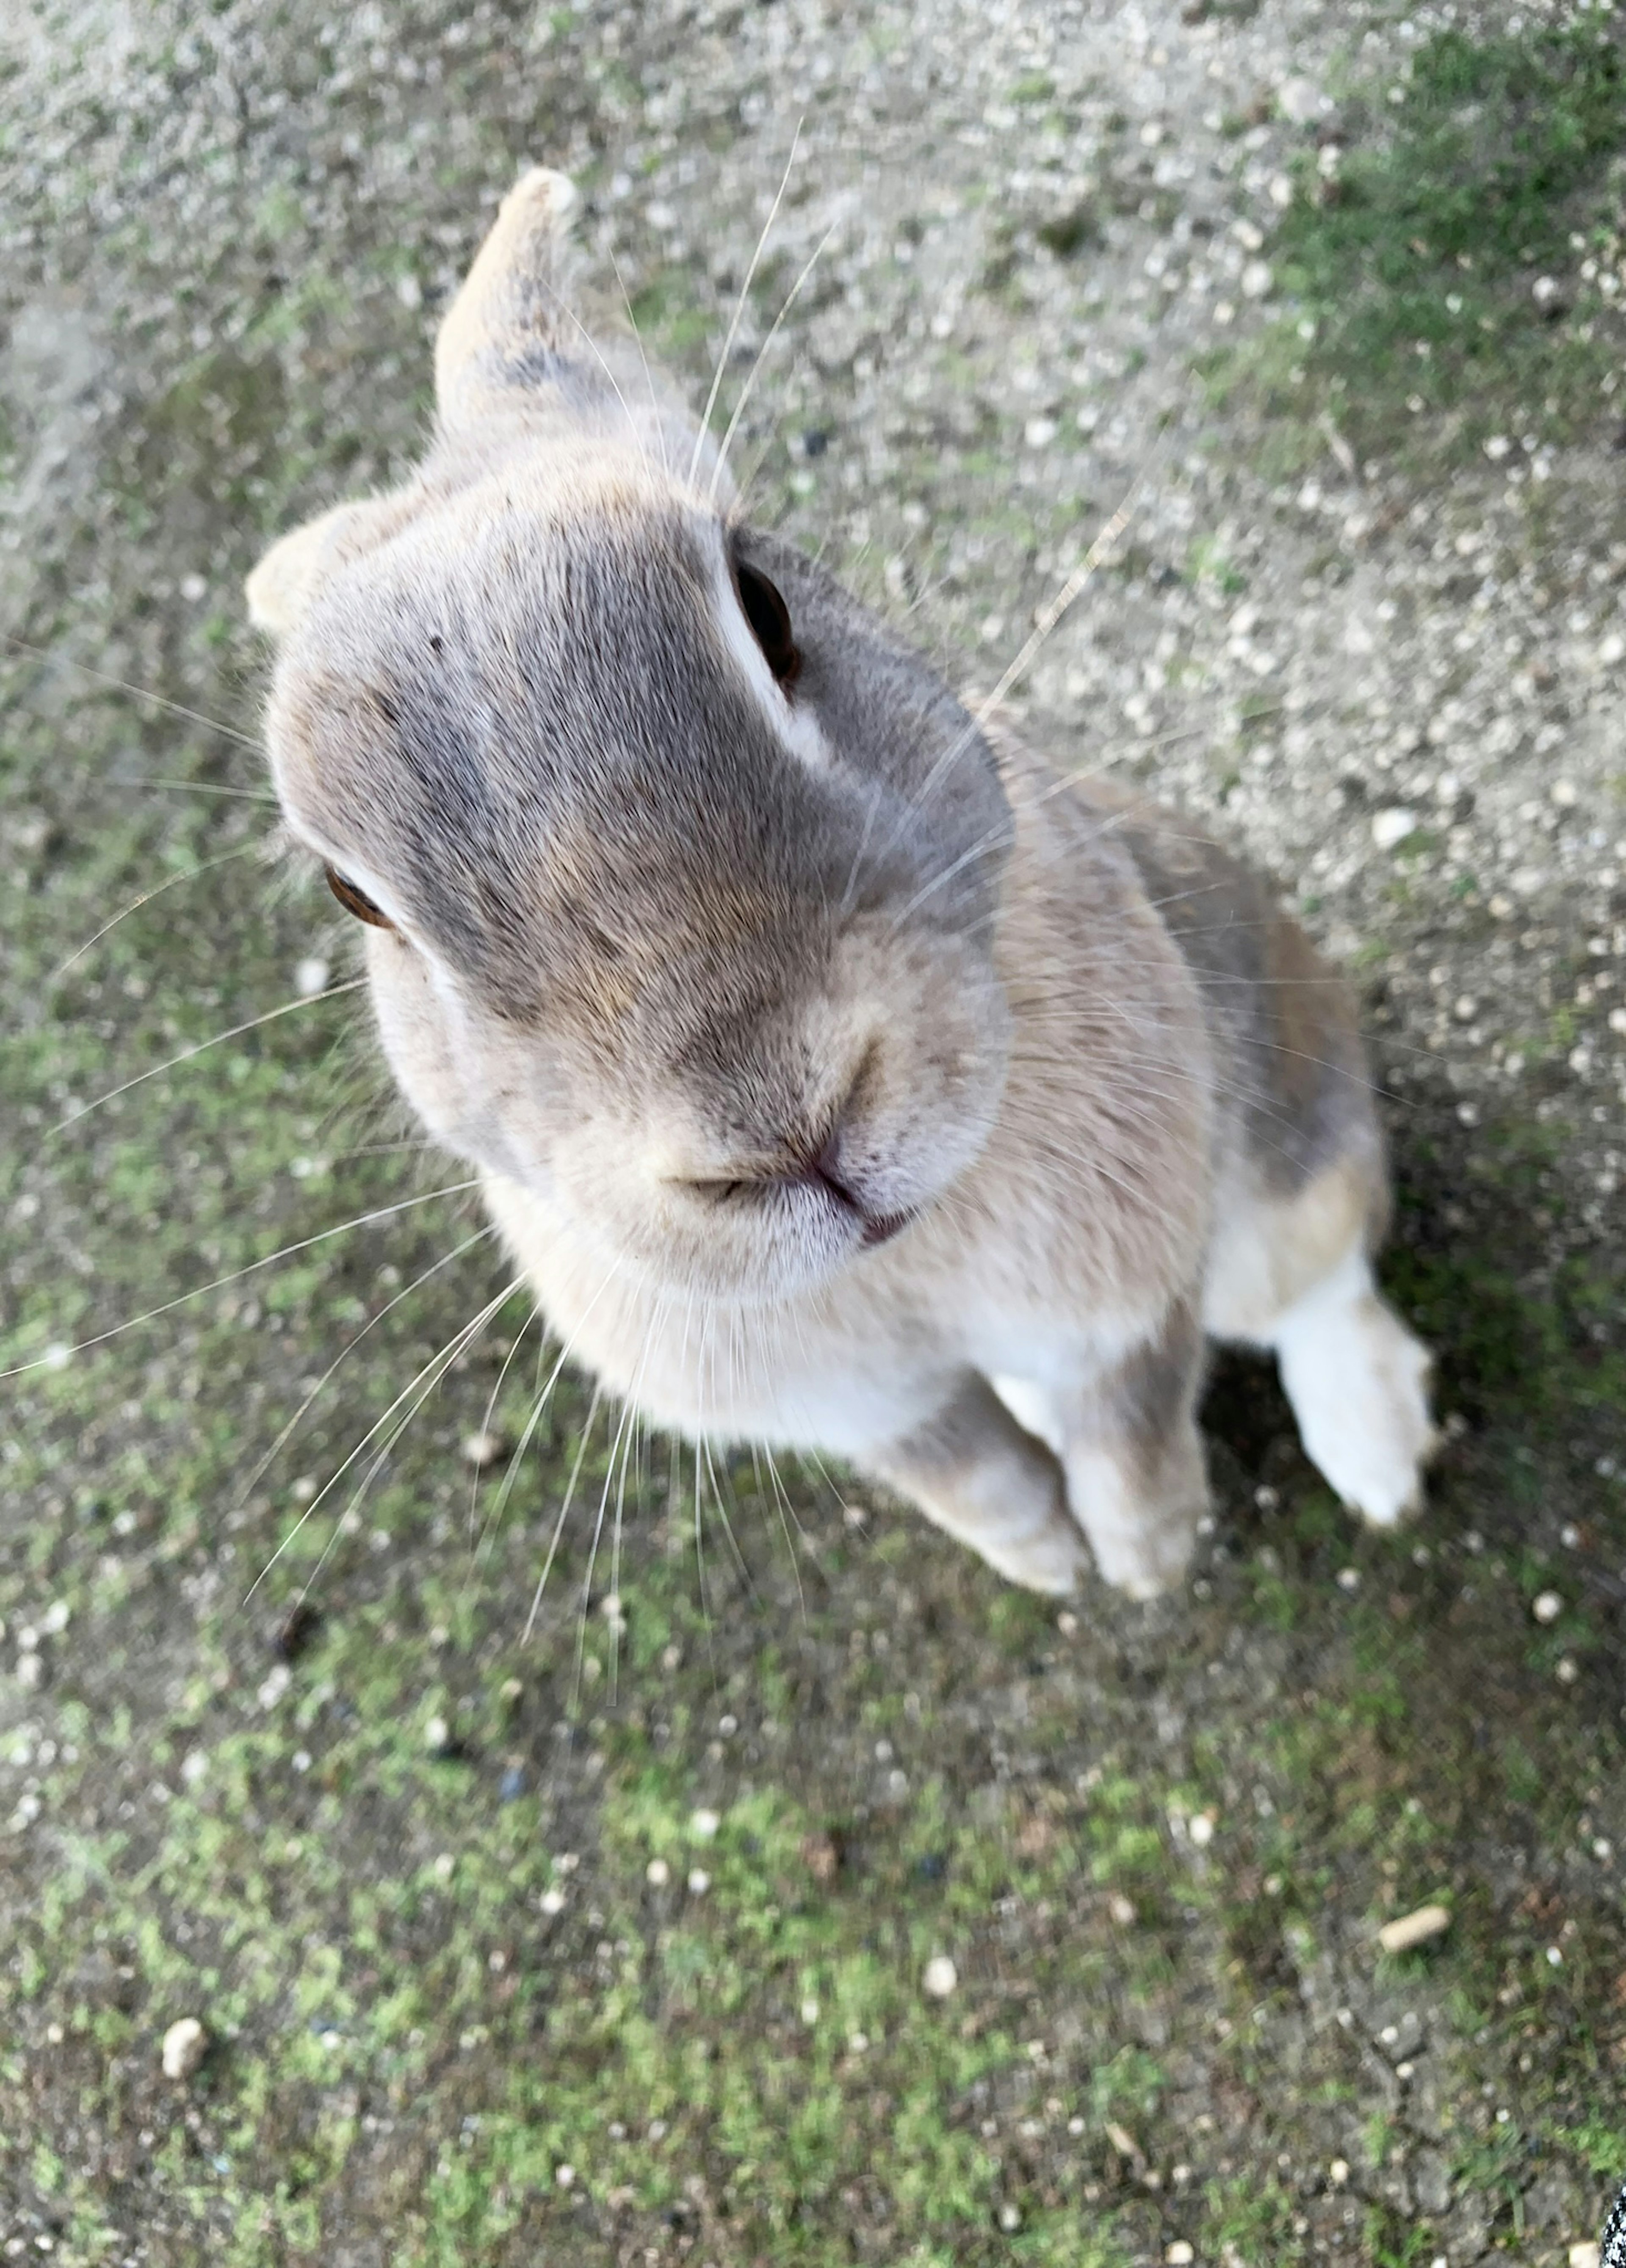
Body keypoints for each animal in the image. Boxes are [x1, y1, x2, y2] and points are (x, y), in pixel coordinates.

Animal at [241, 168, 1433, 1605]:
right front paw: (1050, 1565)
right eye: (353, 896)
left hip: (1282, 1130)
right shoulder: (864, 1407)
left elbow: (1134, 1424)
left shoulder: (1117, 1297)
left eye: (764, 604)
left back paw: (1379, 1459)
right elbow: (965, 1476)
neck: (903, 1249)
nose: (787, 1128)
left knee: (1318, 1275)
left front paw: (1145, 1560)